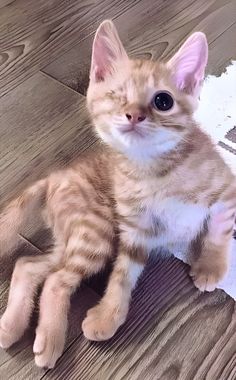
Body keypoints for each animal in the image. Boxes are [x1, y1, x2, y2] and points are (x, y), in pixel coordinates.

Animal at [0, 20, 236, 368]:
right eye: (115, 95)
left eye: (163, 101)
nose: (134, 115)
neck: (153, 171)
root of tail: (56, 175)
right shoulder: (134, 231)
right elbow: (122, 275)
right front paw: (108, 315)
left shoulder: (226, 189)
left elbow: (218, 231)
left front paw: (210, 266)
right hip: (95, 232)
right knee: (56, 280)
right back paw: (49, 337)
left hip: (76, 238)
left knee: (28, 266)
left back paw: (12, 326)